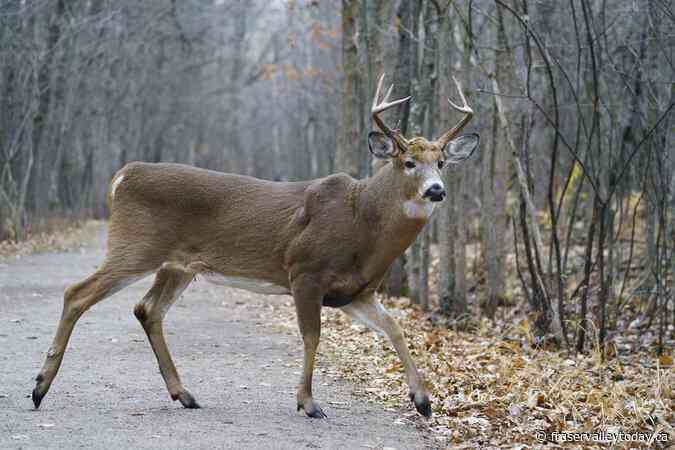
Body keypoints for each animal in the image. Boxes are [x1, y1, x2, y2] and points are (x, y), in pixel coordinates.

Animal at [31, 74, 478, 419]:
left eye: (441, 163)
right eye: (408, 162)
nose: (436, 191)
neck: (361, 221)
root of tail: (122, 176)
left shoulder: (356, 292)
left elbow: (395, 329)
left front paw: (423, 401)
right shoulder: (304, 270)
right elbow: (312, 336)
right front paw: (308, 403)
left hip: (179, 264)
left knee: (147, 309)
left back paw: (184, 394)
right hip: (135, 246)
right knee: (76, 293)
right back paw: (39, 387)